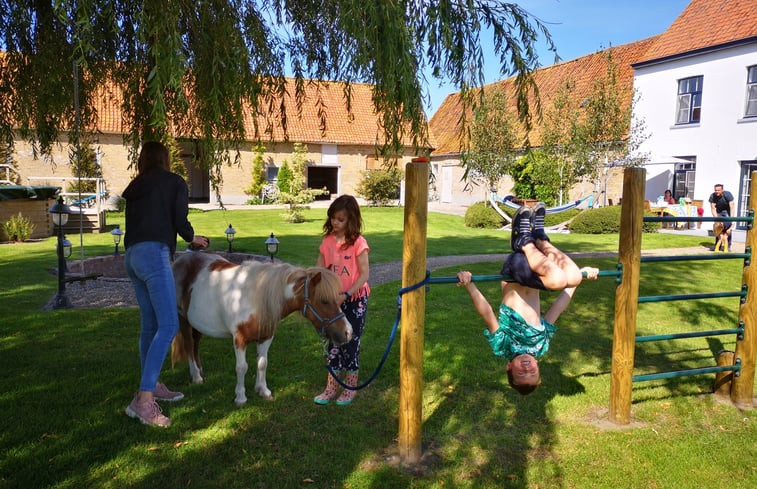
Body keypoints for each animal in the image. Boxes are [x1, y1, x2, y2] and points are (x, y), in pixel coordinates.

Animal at [171, 252, 352, 404]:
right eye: (324, 301)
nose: (348, 332)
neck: (253, 298)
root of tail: (179, 261)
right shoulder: (239, 339)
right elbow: (242, 367)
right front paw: (240, 397)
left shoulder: (266, 337)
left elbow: (262, 363)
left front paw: (263, 391)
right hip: (183, 320)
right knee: (188, 344)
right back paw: (196, 376)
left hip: (197, 323)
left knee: (195, 343)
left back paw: (200, 370)